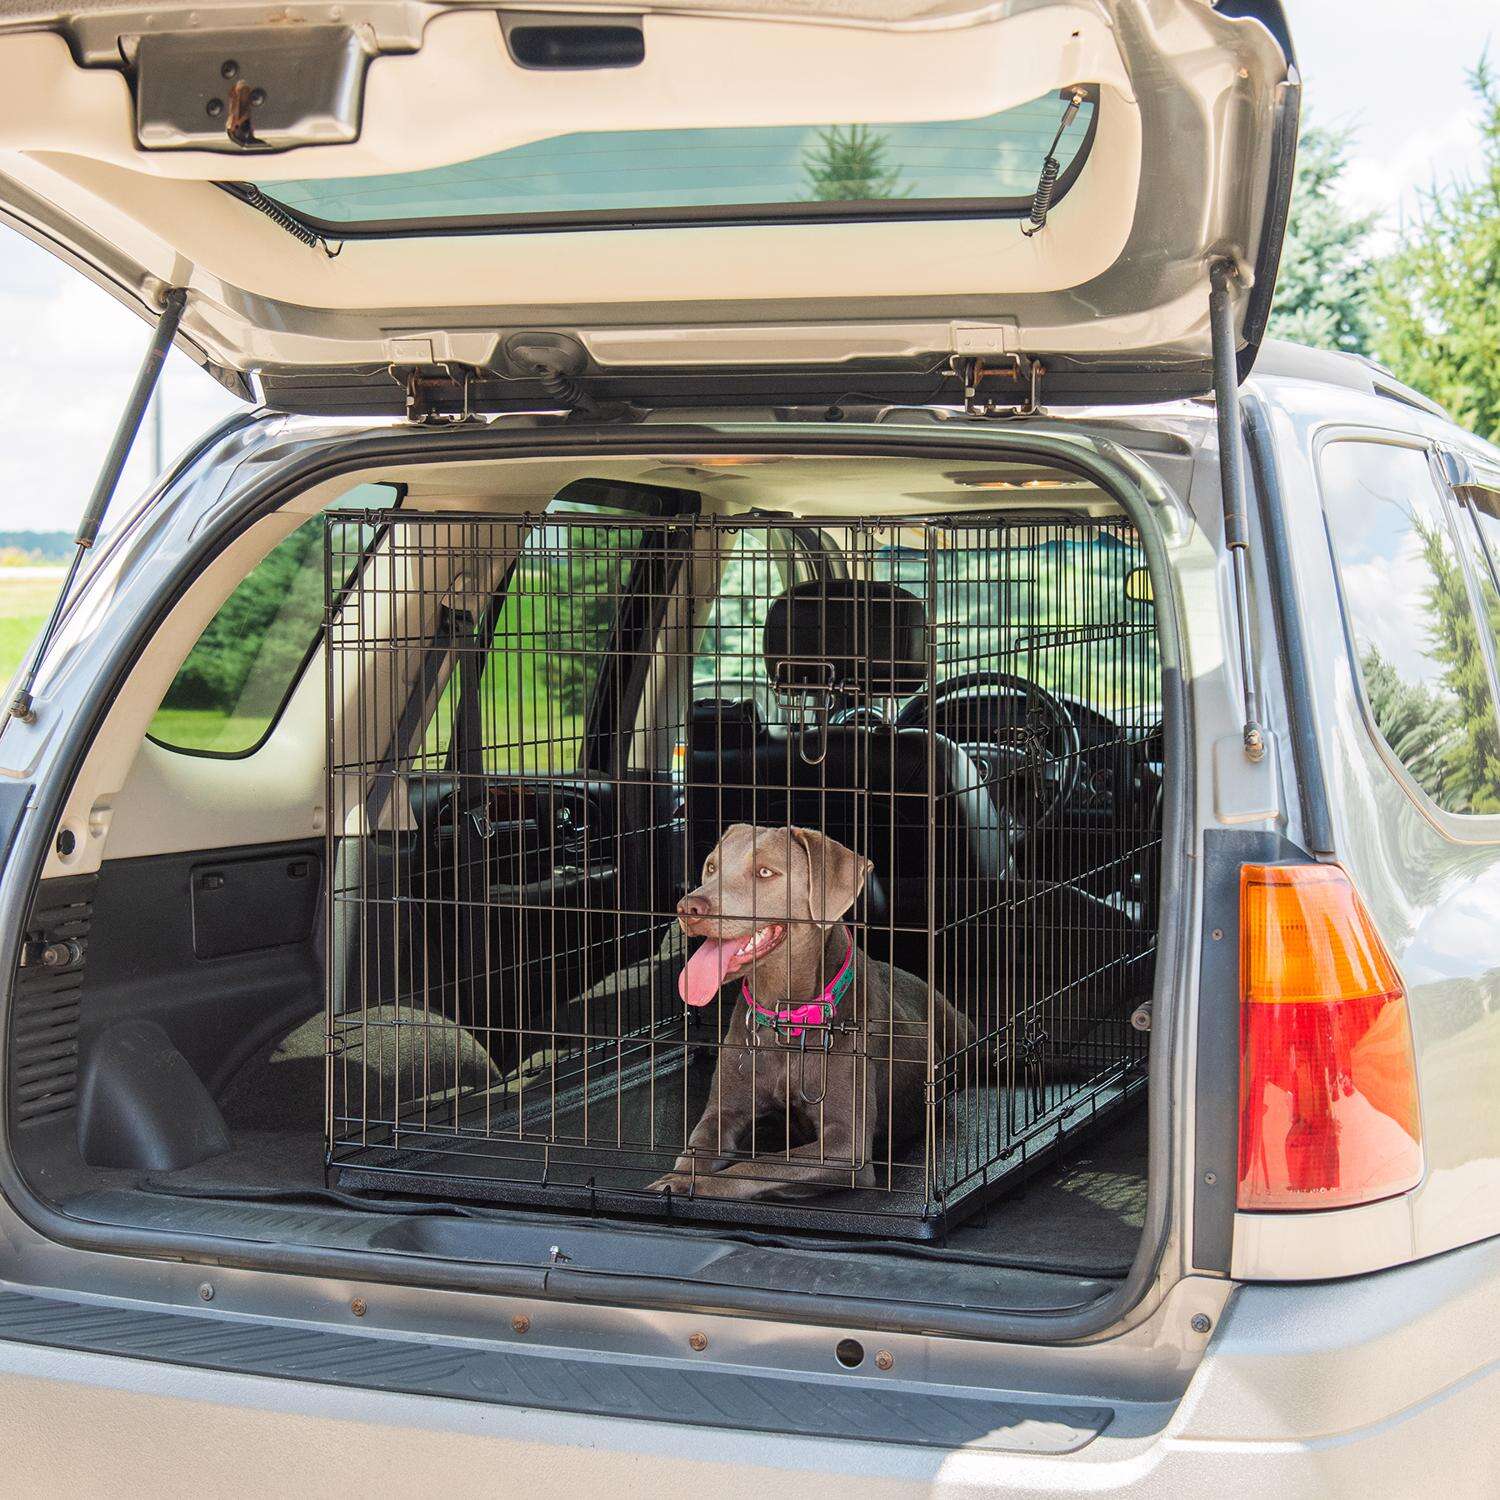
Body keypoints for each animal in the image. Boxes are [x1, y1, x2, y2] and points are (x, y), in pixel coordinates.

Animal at [651, 828, 978, 1200]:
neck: (786, 1017)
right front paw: (678, 1177)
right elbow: (697, 1147)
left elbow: (757, 1166)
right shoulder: (723, 1112)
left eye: (765, 872)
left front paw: (693, 1185)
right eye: (711, 867)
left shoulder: (844, 1147)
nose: (688, 906)